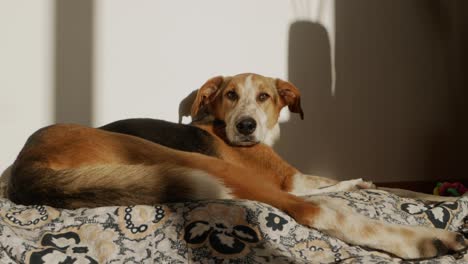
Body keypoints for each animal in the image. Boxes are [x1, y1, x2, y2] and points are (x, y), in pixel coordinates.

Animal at [5, 72, 466, 260]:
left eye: (265, 96)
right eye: (229, 95)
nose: (246, 126)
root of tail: (26, 166)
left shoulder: (292, 176)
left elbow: (373, 185)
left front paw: (403, 190)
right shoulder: (285, 179)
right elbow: (319, 191)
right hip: (186, 160)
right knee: (316, 212)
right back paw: (427, 240)